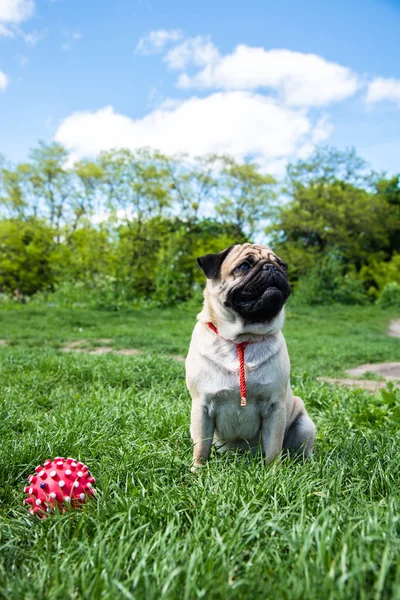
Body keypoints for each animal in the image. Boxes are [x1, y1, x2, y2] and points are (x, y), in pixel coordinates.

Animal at [187, 243, 316, 468]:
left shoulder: (274, 407)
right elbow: (201, 446)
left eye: (283, 266)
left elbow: (273, 446)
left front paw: (273, 470)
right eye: (244, 266)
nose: (271, 267)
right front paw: (199, 469)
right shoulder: (201, 406)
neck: (241, 339)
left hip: (304, 425)